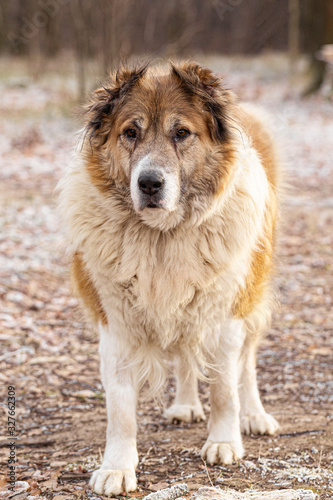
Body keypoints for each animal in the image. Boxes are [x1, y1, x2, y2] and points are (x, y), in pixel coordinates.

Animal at [58, 61, 278, 496]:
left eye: (181, 133)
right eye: (130, 133)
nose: (149, 183)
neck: (162, 236)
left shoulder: (225, 316)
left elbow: (224, 388)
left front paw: (224, 441)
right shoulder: (116, 325)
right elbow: (120, 410)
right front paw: (117, 466)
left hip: (250, 298)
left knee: (245, 366)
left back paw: (254, 415)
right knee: (186, 357)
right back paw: (185, 405)